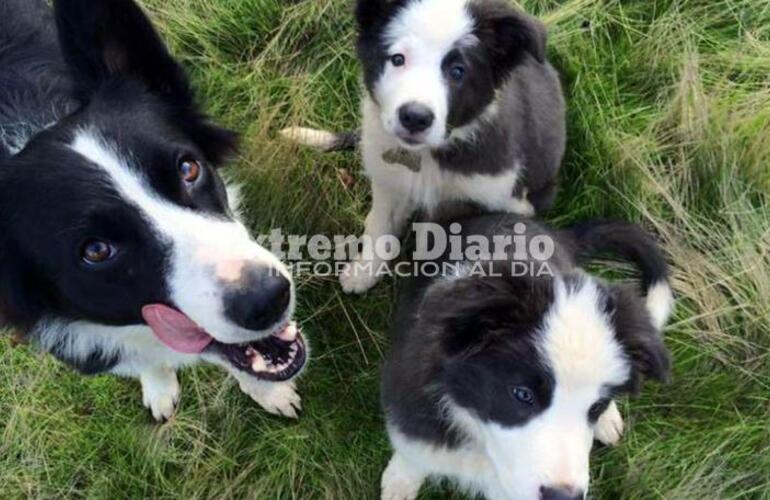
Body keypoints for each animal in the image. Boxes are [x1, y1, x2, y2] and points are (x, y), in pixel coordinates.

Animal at [282, 0, 564, 294]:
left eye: (458, 71)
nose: (415, 117)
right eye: (397, 59)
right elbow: (380, 226)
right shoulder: (389, 179)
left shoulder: (506, 202)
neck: (428, 155)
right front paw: (365, 271)